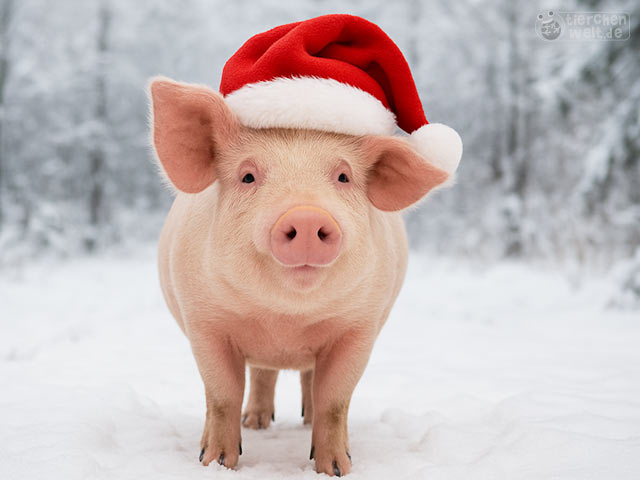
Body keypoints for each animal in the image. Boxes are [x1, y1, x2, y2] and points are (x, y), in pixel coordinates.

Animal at [149, 77, 453, 476]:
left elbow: (335, 400)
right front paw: (215, 463)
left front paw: (336, 470)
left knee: (306, 380)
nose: (307, 215)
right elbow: (222, 395)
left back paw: (302, 420)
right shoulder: (203, 321)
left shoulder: (361, 327)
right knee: (262, 374)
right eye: (248, 175)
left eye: (343, 176)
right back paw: (256, 424)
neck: (285, 321)